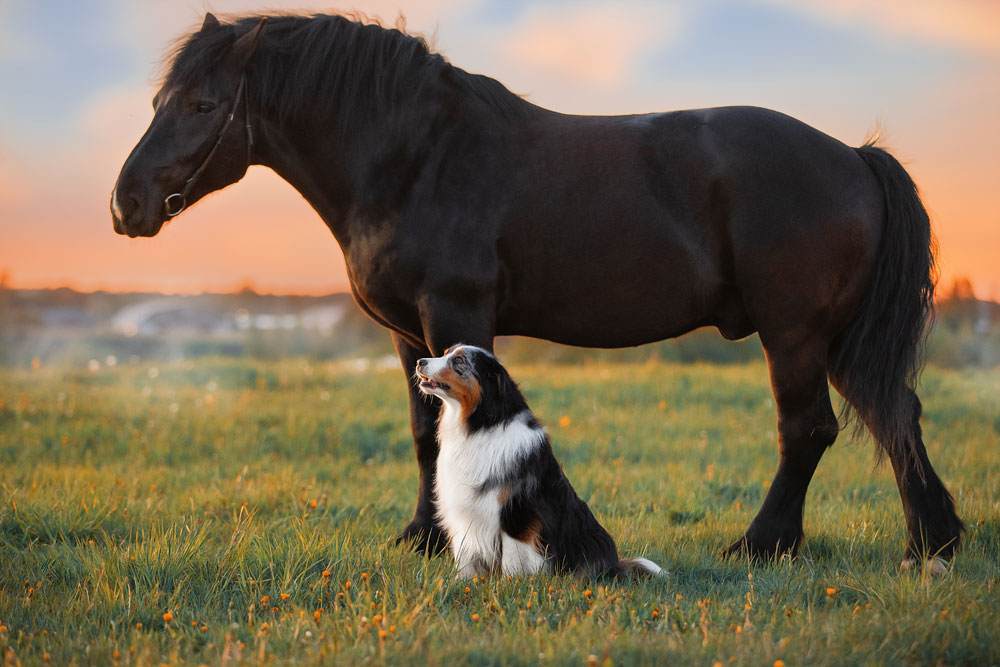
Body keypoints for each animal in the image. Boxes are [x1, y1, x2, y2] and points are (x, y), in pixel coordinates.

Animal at [414, 344, 664, 580]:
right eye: (445, 353)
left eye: (458, 360)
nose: (419, 361)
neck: (480, 425)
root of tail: (614, 565)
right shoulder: (465, 509)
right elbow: (465, 555)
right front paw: (463, 583)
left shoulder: (517, 512)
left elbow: (512, 557)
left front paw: (511, 585)